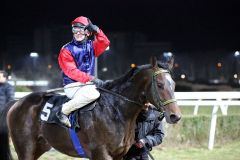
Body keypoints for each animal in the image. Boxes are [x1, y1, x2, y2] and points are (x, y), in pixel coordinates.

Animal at [0, 57, 180, 160]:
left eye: (174, 84)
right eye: (160, 84)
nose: (175, 116)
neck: (116, 110)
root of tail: (16, 102)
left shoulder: (119, 155)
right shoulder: (101, 154)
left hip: (40, 146)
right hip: (25, 148)